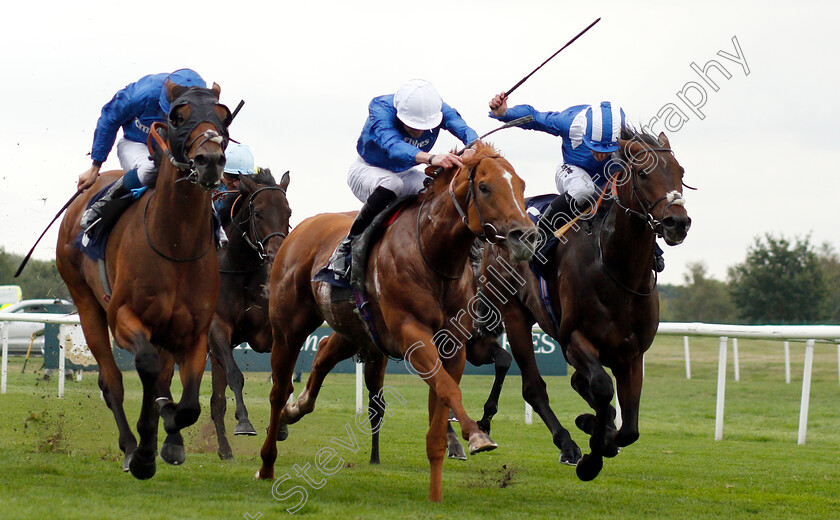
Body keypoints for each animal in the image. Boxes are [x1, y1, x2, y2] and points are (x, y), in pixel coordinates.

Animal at [55, 82, 231, 480]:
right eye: (177, 116)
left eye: (223, 116)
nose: (210, 160)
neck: (175, 244)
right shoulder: (124, 318)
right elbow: (147, 368)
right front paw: (145, 452)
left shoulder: (194, 332)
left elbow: (188, 404)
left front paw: (171, 435)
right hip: (87, 305)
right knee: (112, 382)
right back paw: (130, 447)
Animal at [208, 169, 292, 458]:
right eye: (258, 212)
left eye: (288, 212)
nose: (277, 254)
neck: (239, 269)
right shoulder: (217, 329)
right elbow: (236, 375)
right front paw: (244, 422)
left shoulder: (269, 333)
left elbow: (282, 379)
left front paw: (280, 427)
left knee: (216, 401)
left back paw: (224, 450)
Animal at [253, 141, 540, 500]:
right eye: (485, 187)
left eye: (522, 186)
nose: (525, 236)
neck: (433, 254)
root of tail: (300, 230)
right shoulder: (411, 334)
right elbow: (449, 389)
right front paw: (476, 434)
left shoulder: (454, 344)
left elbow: (442, 402)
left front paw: (436, 493)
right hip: (288, 329)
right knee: (279, 390)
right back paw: (267, 461)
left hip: (355, 330)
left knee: (323, 353)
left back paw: (296, 408)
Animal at [480, 129, 688, 480]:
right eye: (643, 173)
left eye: (681, 173)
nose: (678, 222)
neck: (618, 272)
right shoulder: (574, 340)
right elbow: (603, 387)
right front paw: (593, 454)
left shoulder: (632, 354)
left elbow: (630, 428)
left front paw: (601, 432)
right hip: (514, 313)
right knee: (533, 386)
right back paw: (565, 444)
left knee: (575, 384)